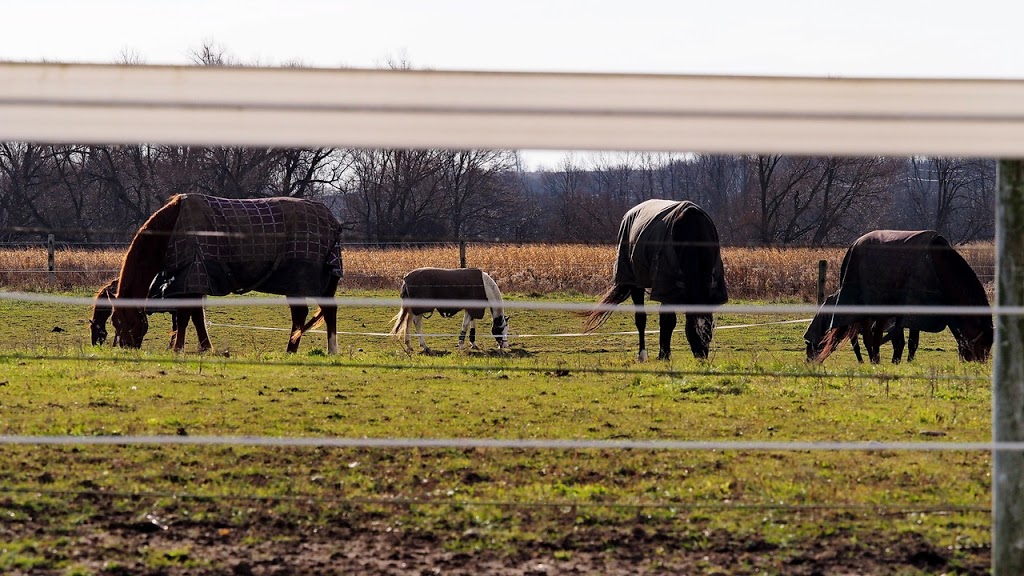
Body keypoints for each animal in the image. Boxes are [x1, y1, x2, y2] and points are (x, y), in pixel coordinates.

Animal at [111, 193, 344, 350]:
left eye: (123, 320)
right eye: (114, 322)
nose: (126, 346)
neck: (172, 228)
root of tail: (333, 222)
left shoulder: (192, 277)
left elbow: (186, 316)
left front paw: (179, 348)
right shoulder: (196, 280)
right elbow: (197, 316)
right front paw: (205, 348)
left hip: (301, 281)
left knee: (307, 313)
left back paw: (311, 349)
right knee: (320, 311)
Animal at [585, 196, 729, 358]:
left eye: (709, 333)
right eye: (691, 331)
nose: (702, 357)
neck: (693, 234)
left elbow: (666, 320)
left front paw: (664, 354)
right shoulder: (666, 285)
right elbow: (668, 321)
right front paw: (664, 355)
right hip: (635, 281)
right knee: (641, 319)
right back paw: (642, 355)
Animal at [806, 229, 991, 360]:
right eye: (982, 344)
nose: (978, 364)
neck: (939, 268)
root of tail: (856, 243)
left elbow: (909, 343)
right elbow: (906, 341)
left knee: (874, 337)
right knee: (867, 338)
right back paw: (873, 361)